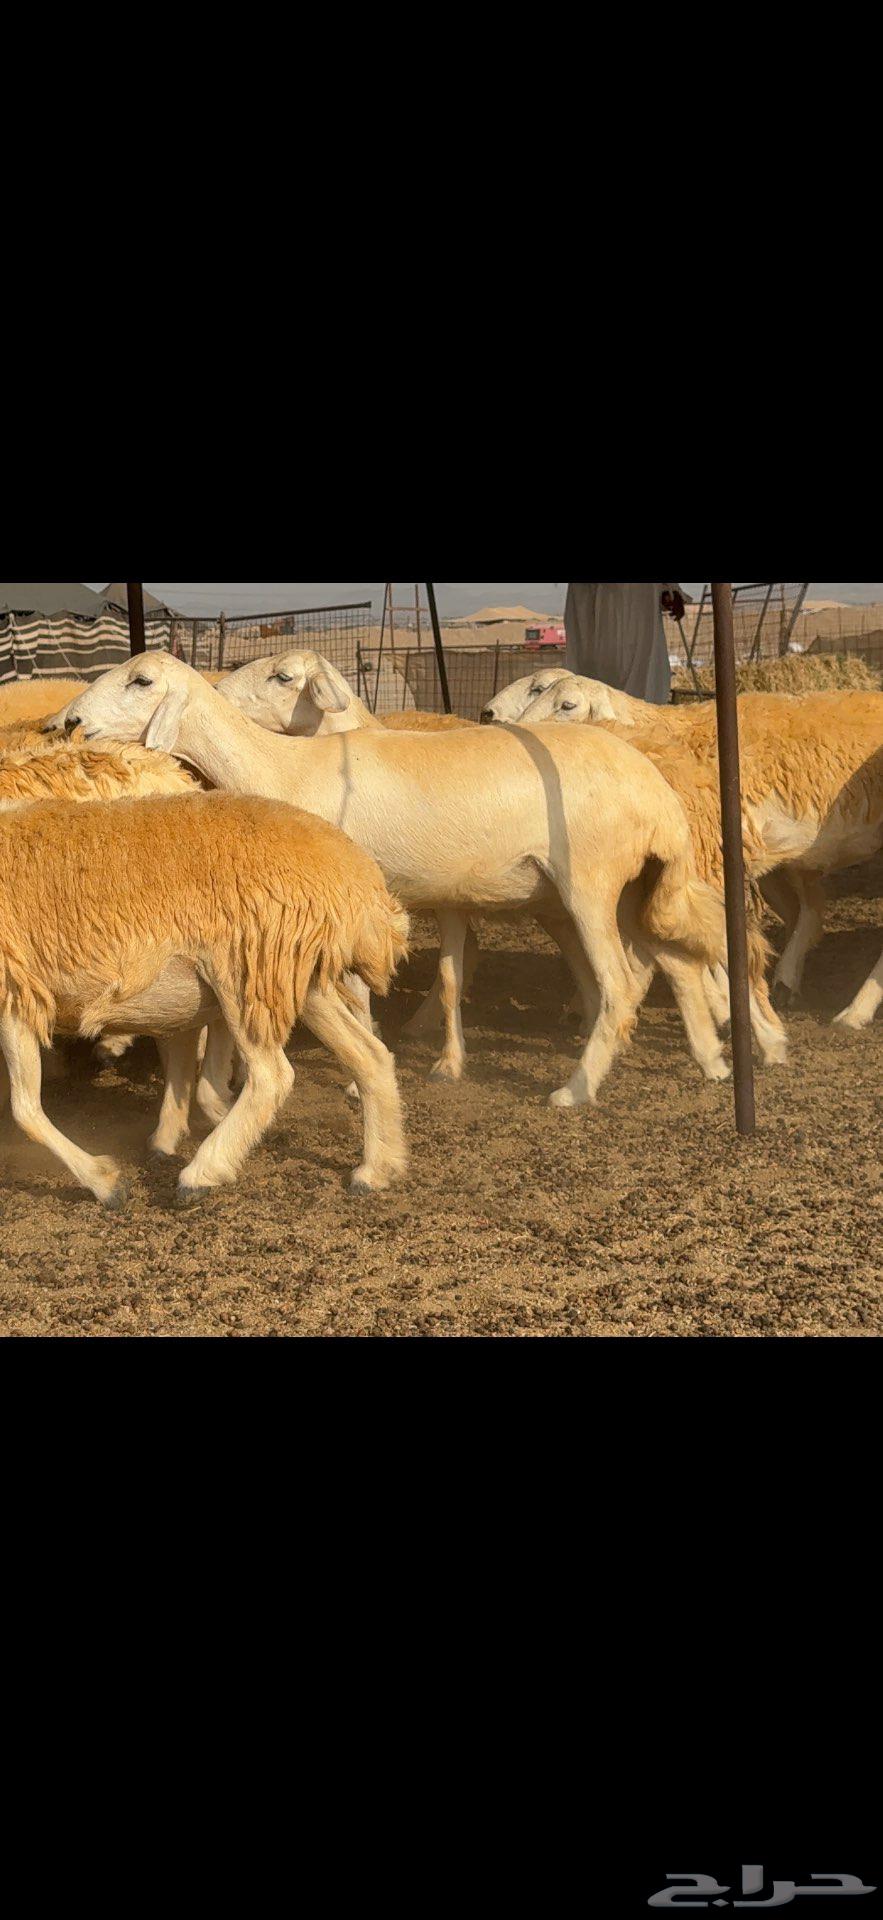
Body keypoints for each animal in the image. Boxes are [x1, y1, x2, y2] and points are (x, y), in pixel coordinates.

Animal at [0, 792, 409, 1206]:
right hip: (294, 978)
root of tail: (357, 877)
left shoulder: (14, 996)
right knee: (370, 1057)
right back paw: (377, 1169)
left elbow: (25, 1110)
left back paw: (202, 1172)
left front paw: (107, 1182)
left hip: (242, 972)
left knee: (272, 1076)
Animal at [64, 655, 738, 1106]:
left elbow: (358, 994)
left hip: (591, 883)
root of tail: (656, 792)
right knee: (671, 961)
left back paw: (575, 1088)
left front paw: (362, 1075)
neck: (283, 768)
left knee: (621, 984)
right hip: (633, 888)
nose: (67, 722)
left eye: (141, 681)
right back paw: (712, 1059)